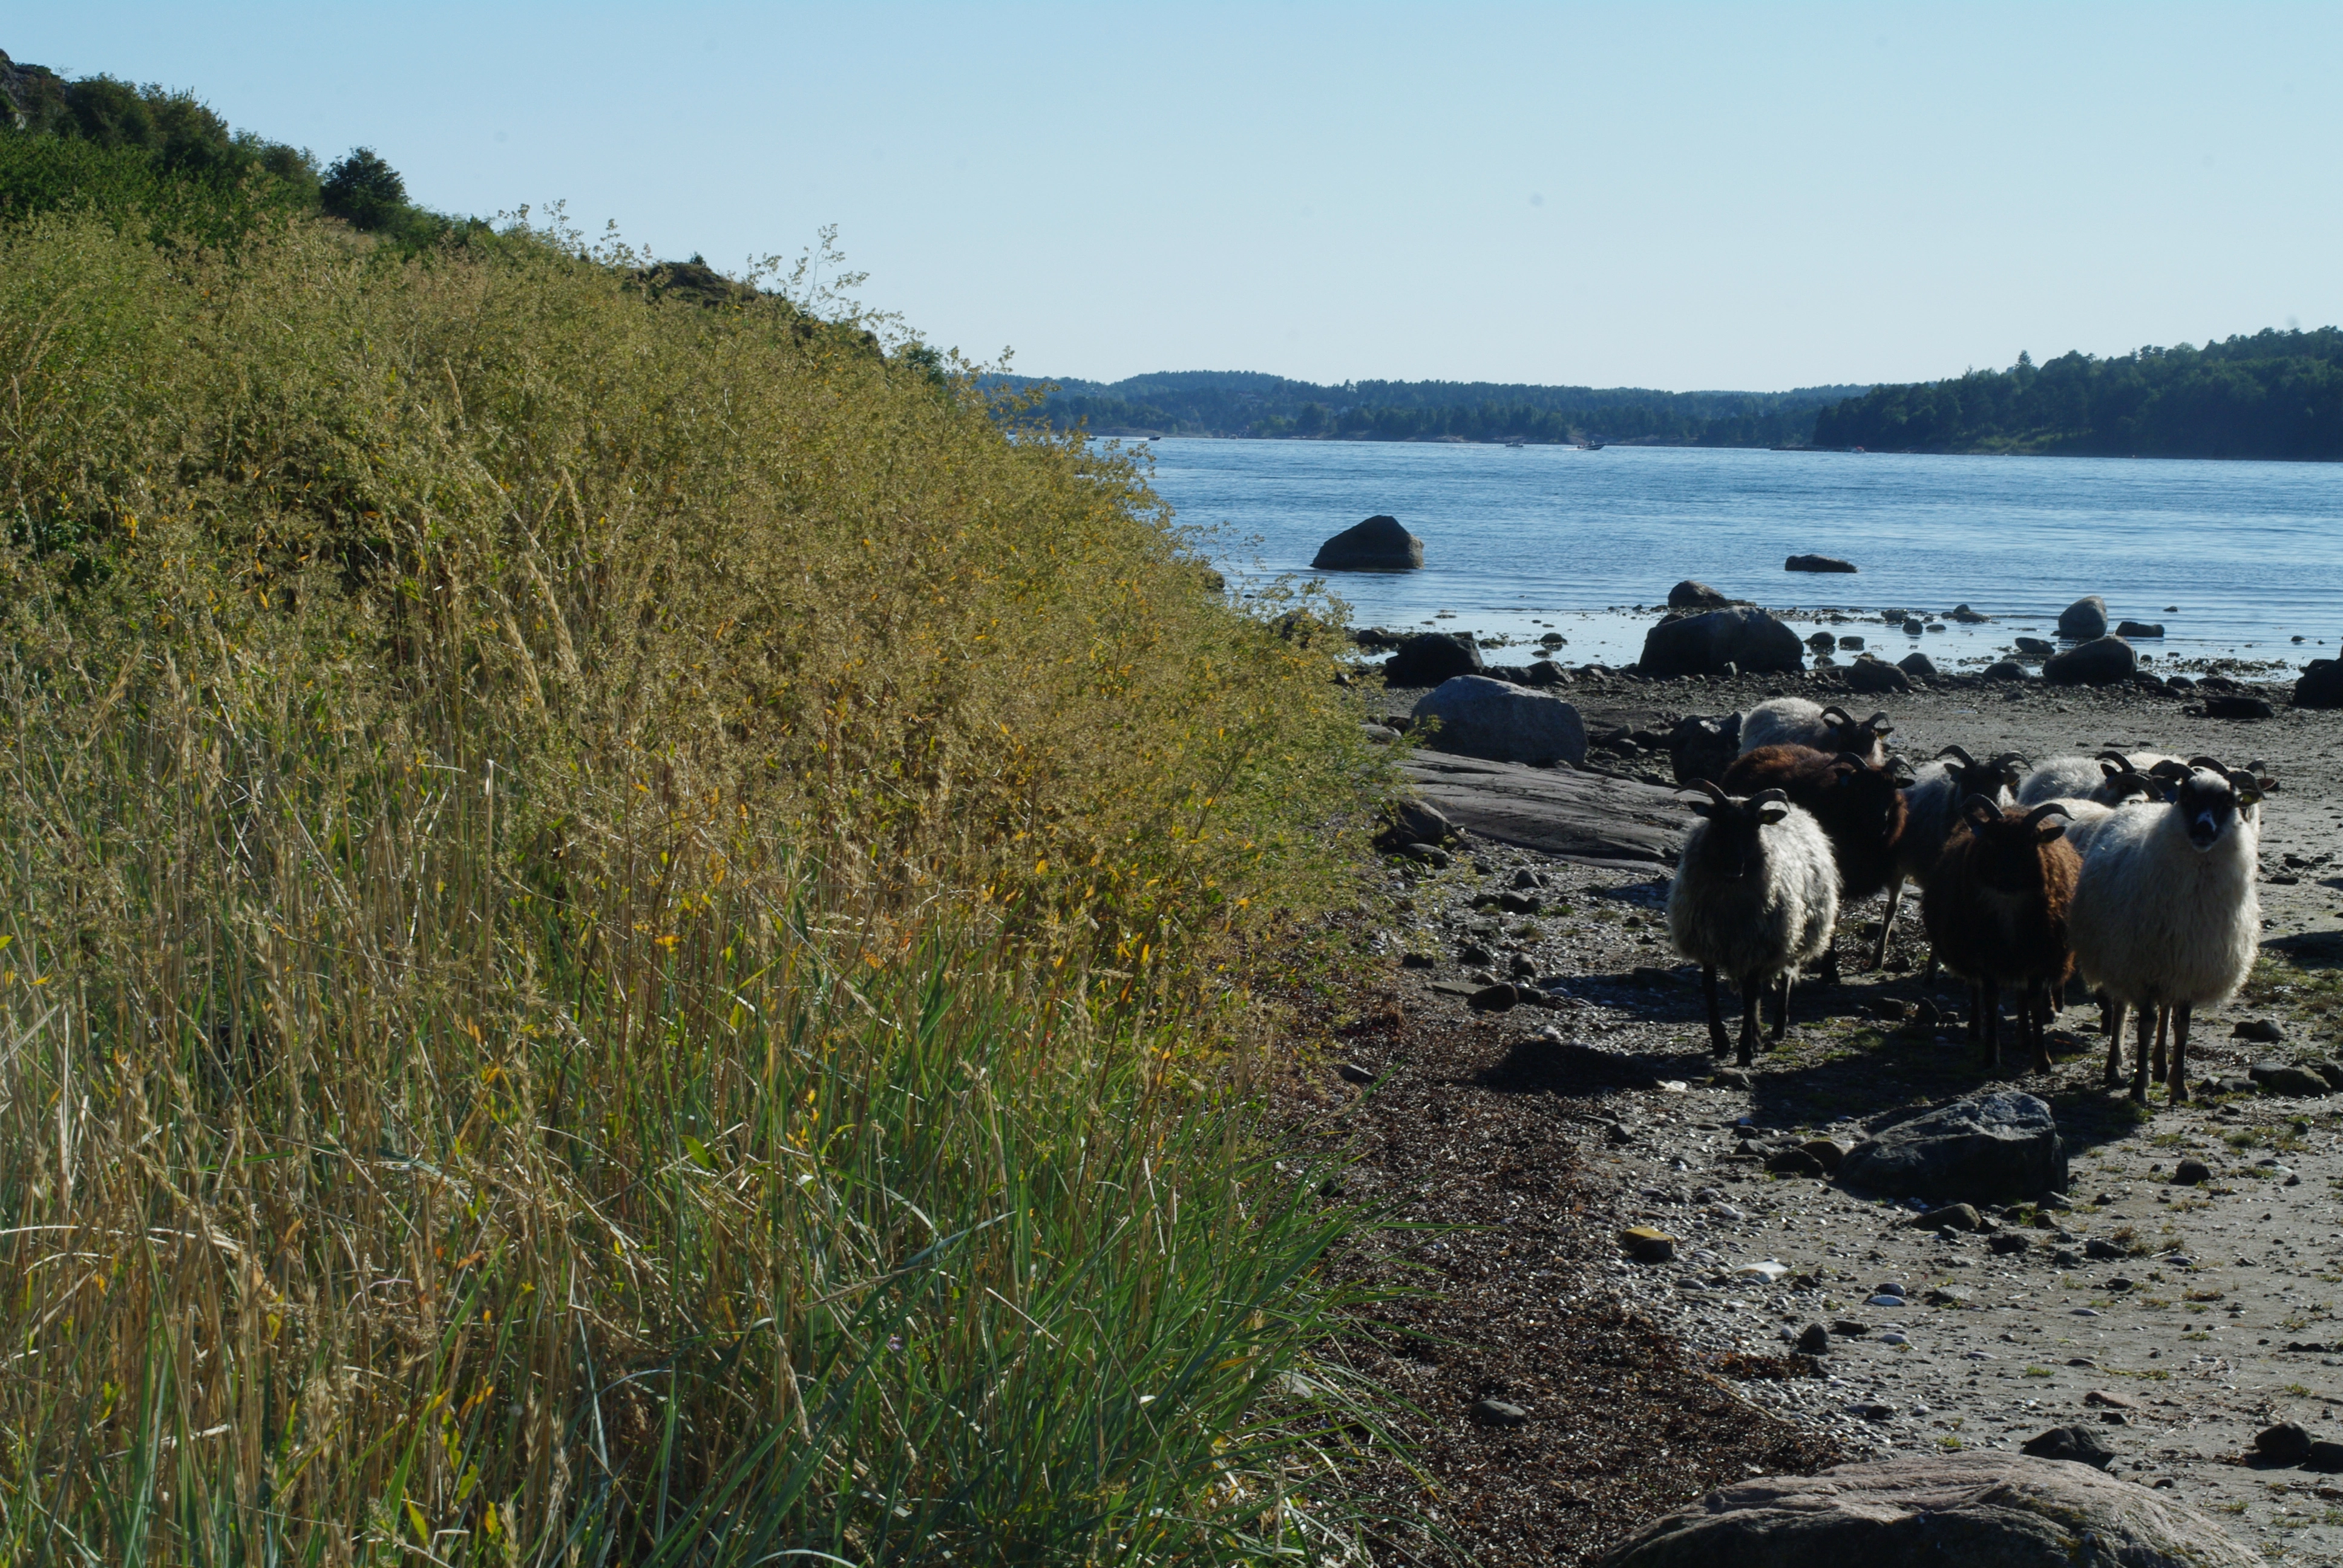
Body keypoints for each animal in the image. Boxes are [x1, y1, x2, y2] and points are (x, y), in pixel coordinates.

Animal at [1668, 778, 1846, 1063]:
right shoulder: (1708, 942)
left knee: (1785, 977)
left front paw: (1745, 1049)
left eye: (1755, 826)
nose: (1734, 869)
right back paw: (1758, 1033)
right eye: (1717, 822)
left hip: (1790, 936)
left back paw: (1778, 1028)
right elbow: (1710, 988)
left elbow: (1751, 994)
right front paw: (1721, 1042)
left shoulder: (1759, 941)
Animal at [1930, 797, 2080, 1078]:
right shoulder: (1985, 955)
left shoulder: (2037, 955)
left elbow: (2034, 1001)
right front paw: (1991, 1056)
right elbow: (1991, 999)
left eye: (2031, 844)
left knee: (2021, 995)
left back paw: (2024, 1036)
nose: (2006, 880)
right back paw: (1975, 1030)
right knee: (1975, 987)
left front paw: (2042, 1059)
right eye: (1992, 841)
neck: (2009, 907)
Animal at [2080, 754, 2258, 1101]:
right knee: (2122, 1008)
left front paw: (2178, 1085)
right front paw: (2139, 1088)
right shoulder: (2142, 968)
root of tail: (2140, 806)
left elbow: (2182, 1024)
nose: (2204, 829)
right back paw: (2115, 1067)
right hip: (2119, 955)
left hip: (2169, 962)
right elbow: (2145, 1023)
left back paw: (2160, 1065)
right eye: (2187, 797)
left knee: (2166, 1009)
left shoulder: (2192, 964)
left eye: (2229, 802)